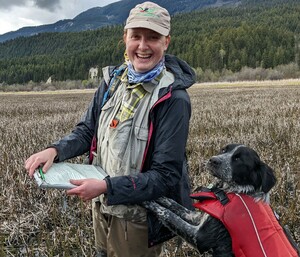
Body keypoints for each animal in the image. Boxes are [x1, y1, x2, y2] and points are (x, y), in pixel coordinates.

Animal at [143, 144, 298, 256]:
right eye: (224, 150)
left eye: (238, 159)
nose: (213, 160)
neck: (230, 191)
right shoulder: (198, 218)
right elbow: (174, 206)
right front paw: (156, 197)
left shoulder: (199, 237)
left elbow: (169, 215)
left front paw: (146, 201)